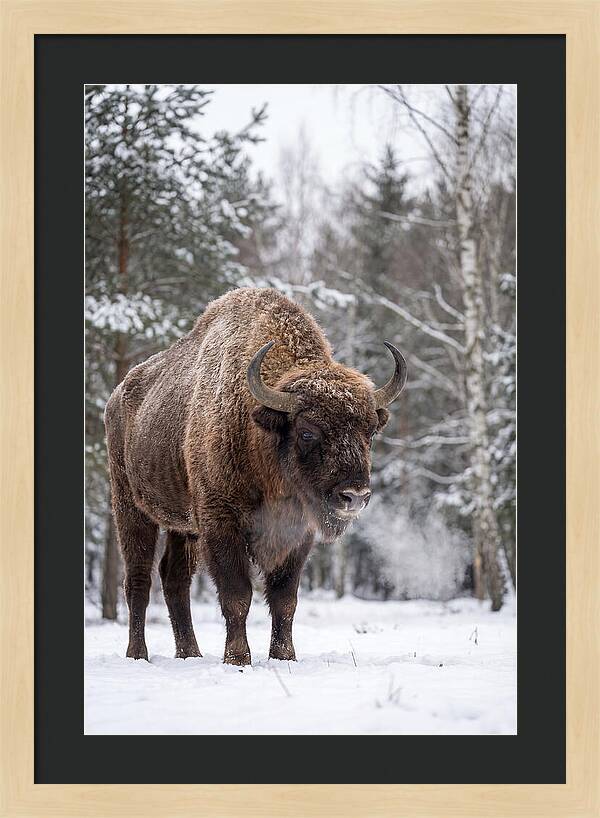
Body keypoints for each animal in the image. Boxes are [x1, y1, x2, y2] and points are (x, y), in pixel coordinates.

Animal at [105, 287, 407, 664]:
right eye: (307, 431)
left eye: (369, 432)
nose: (355, 496)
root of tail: (117, 397)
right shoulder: (221, 523)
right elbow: (237, 595)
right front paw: (237, 659)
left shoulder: (297, 534)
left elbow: (284, 599)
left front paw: (284, 656)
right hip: (131, 507)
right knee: (138, 579)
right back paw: (138, 654)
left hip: (182, 525)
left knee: (174, 579)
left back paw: (190, 654)